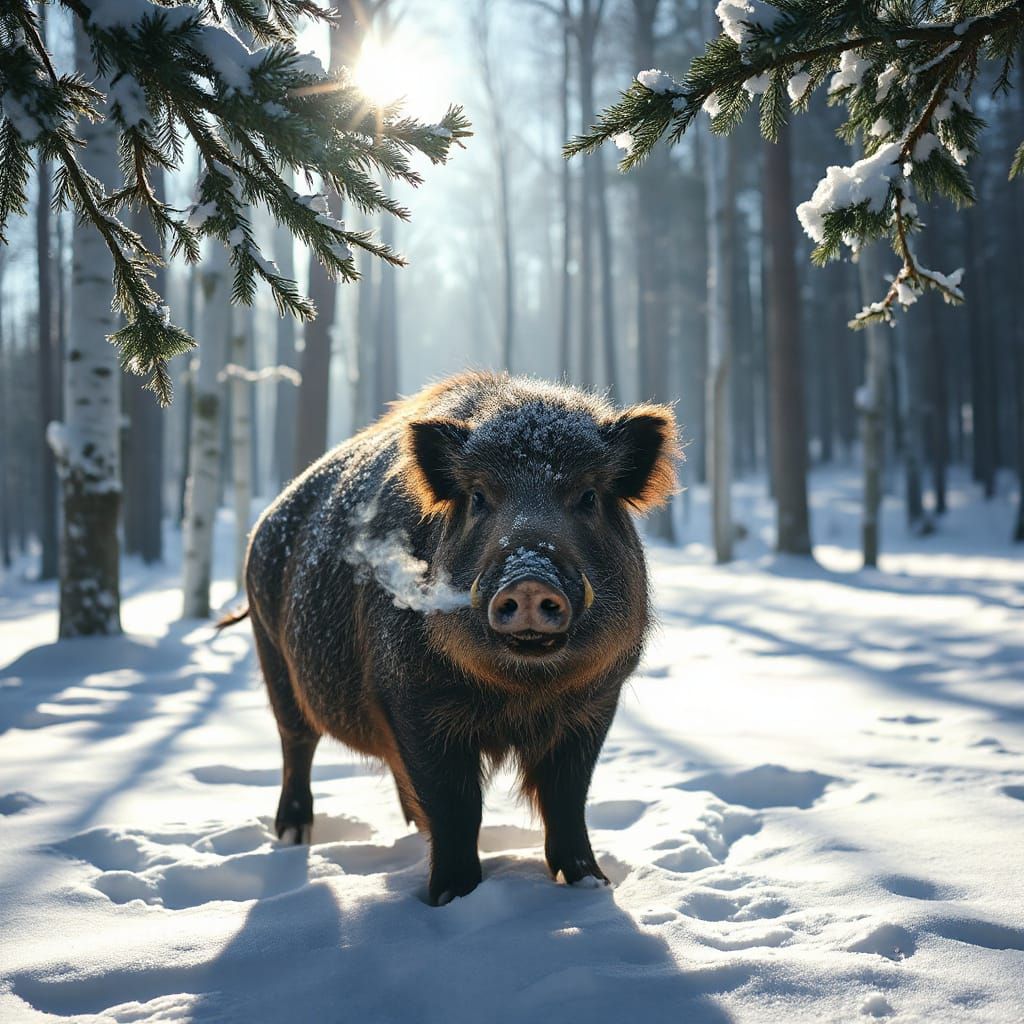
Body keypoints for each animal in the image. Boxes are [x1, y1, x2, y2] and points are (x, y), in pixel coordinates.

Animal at [224, 372, 679, 905]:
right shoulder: (412, 696)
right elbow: (457, 807)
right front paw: (452, 898)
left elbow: (567, 799)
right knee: (296, 745)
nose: (529, 578)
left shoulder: (597, 700)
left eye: (588, 496)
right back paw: (293, 837)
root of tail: (263, 525)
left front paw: (591, 884)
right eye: (479, 497)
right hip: (274, 659)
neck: (520, 692)